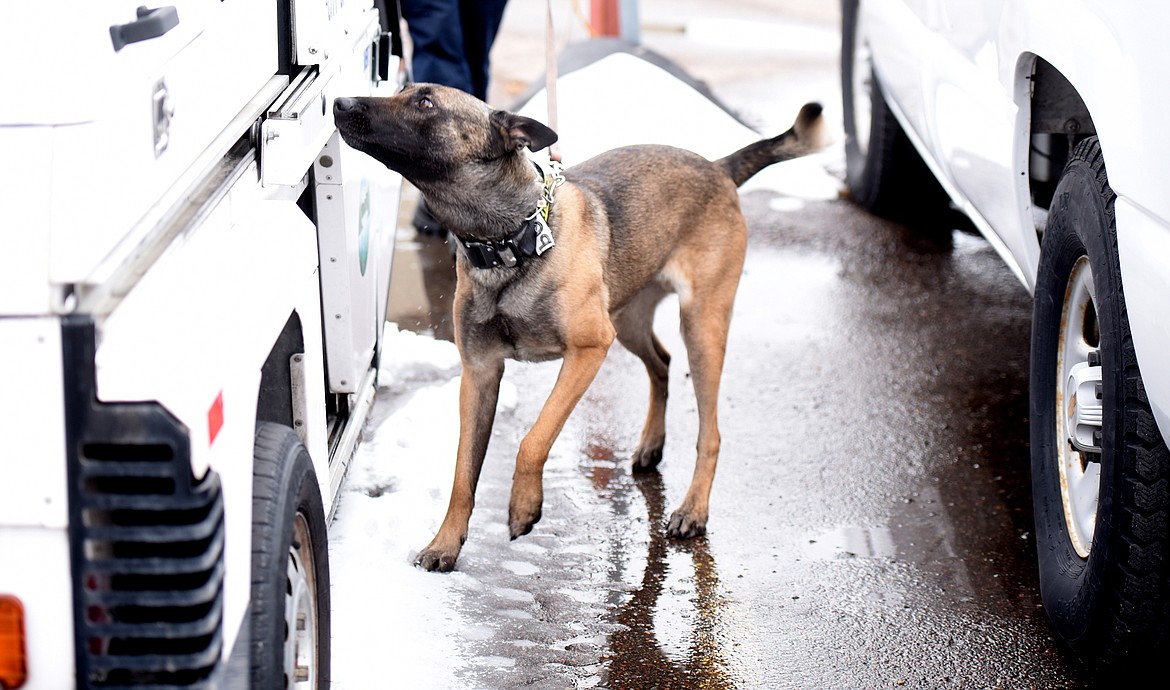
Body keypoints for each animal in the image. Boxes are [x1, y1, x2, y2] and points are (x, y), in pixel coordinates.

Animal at [334, 83, 828, 573]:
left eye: (425, 102)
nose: (340, 103)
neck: (510, 241)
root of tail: (717, 167)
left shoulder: (587, 351)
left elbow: (534, 438)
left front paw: (523, 507)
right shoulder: (479, 375)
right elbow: (463, 473)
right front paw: (445, 543)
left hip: (700, 327)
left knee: (710, 432)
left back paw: (693, 509)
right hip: (627, 321)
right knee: (662, 363)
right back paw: (651, 445)